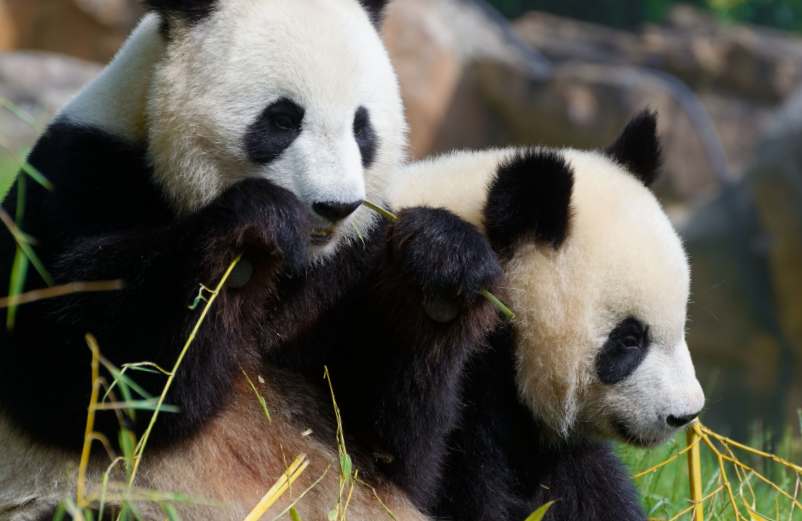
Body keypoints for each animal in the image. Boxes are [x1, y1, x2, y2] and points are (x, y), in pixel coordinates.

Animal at [0, 2, 500, 516]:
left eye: (362, 127)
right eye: (282, 119)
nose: (335, 206)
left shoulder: (350, 267)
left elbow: (385, 448)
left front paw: (441, 261)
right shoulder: (77, 177)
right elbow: (83, 373)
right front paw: (257, 228)